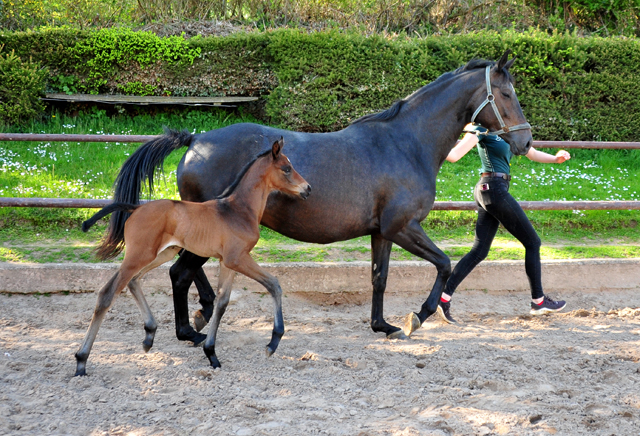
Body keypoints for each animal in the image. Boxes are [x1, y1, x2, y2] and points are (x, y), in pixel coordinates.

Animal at [75, 139, 310, 374]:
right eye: (286, 169)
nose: (307, 188)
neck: (238, 210)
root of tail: (135, 208)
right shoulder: (238, 258)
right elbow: (274, 284)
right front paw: (273, 342)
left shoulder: (227, 262)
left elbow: (222, 302)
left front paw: (211, 354)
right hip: (139, 255)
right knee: (107, 293)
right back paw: (81, 360)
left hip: (162, 253)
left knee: (133, 281)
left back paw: (149, 335)